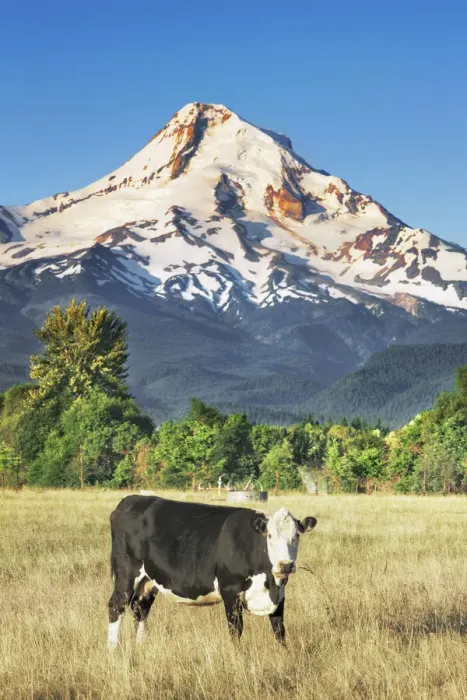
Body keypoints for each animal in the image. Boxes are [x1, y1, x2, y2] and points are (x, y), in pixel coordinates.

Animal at [107, 495, 317, 648]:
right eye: (270, 535)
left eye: (297, 535)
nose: (285, 565)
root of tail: (130, 500)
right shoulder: (230, 590)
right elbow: (236, 628)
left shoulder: (280, 594)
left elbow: (279, 629)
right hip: (126, 571)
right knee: (116, 605)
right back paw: (113, 649)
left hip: (148, 579)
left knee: (140, 607)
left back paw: (140, 645)